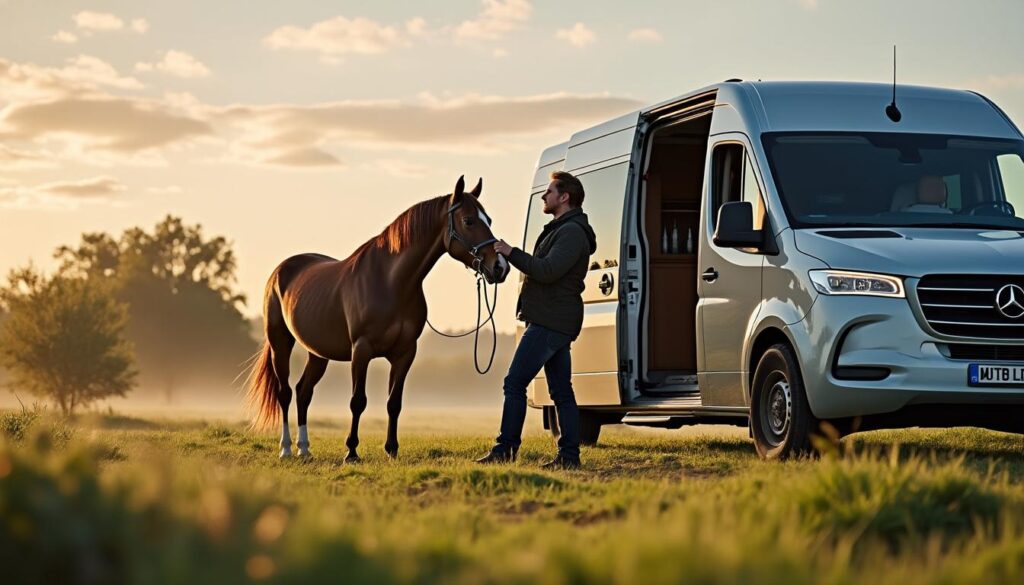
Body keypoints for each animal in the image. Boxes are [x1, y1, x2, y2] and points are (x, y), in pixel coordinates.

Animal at [245, 176, 507, 461]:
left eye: (489, 219)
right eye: (469, 220)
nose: (500, 266)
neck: (391, 283)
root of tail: (281, 270)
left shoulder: (405, 353)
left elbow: (394, 402)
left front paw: (392, 449)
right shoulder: (362, 349)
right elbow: (357, 401)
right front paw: (351, 451)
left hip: (318, 353)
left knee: (304, 392)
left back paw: (304, 448)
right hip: (280, 344)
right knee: (285, 392)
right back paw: (286, 449)